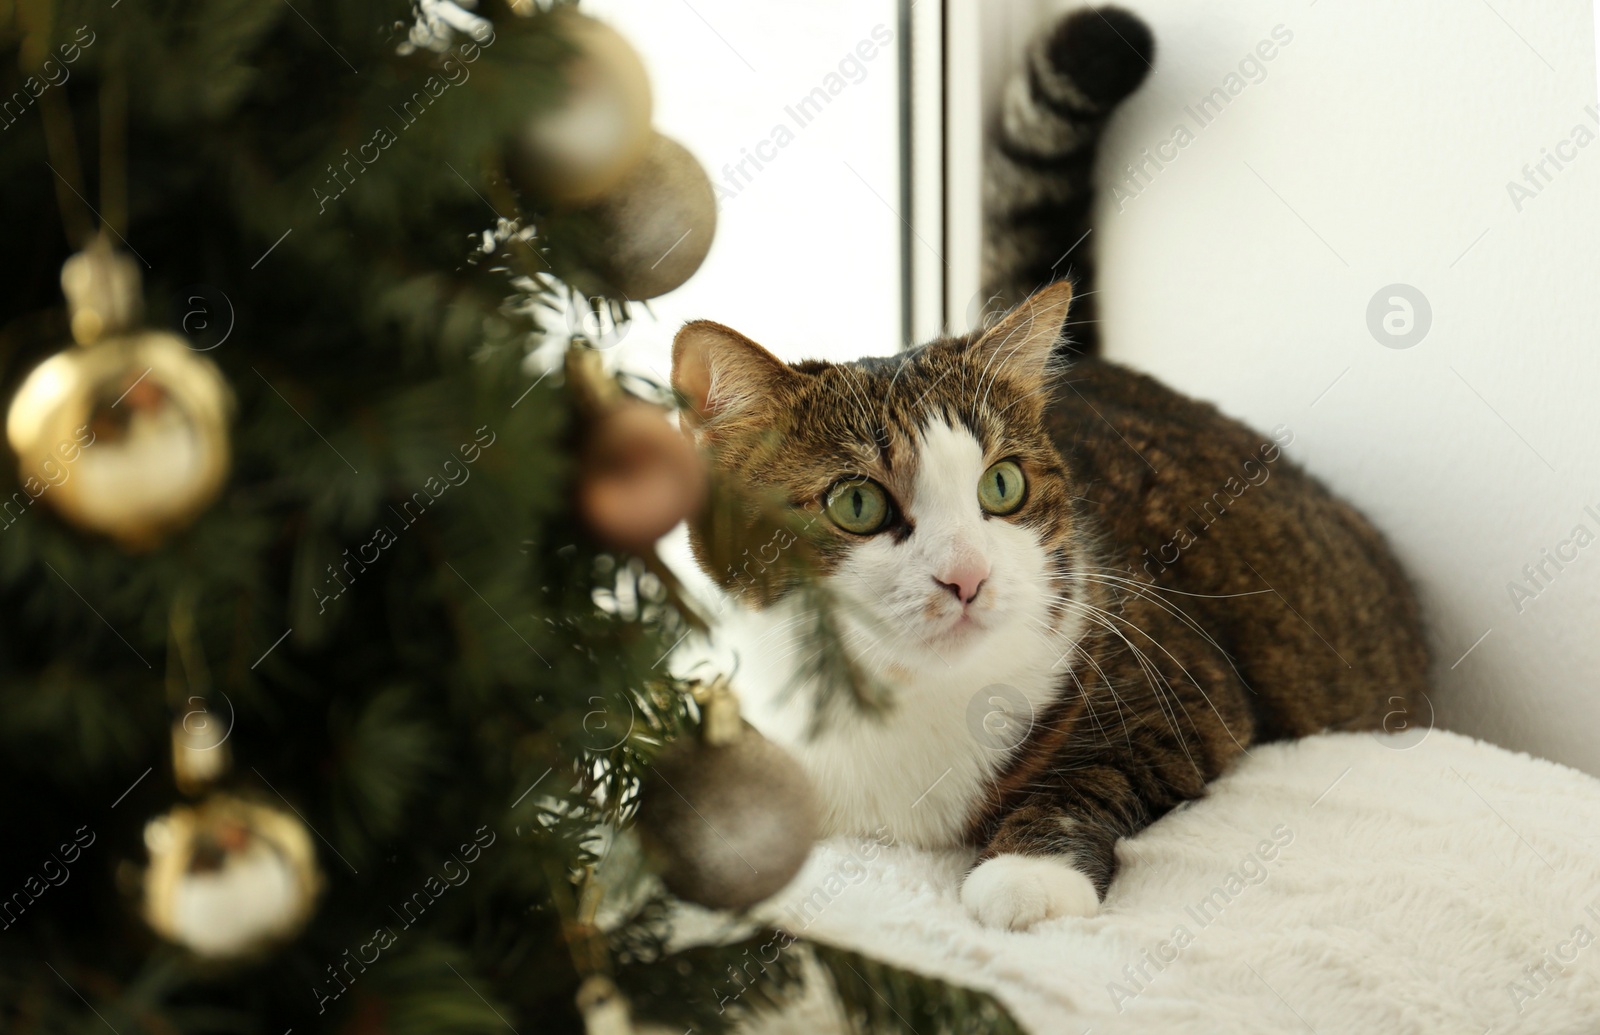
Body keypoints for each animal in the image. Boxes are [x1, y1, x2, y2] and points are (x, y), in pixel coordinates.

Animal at [662, 6, 1427, 934]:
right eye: (856, 503)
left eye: (1002, 485)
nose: (966, 576)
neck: (895, 709)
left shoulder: (1181, 683)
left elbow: (1090, 775)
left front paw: (1029, 874)